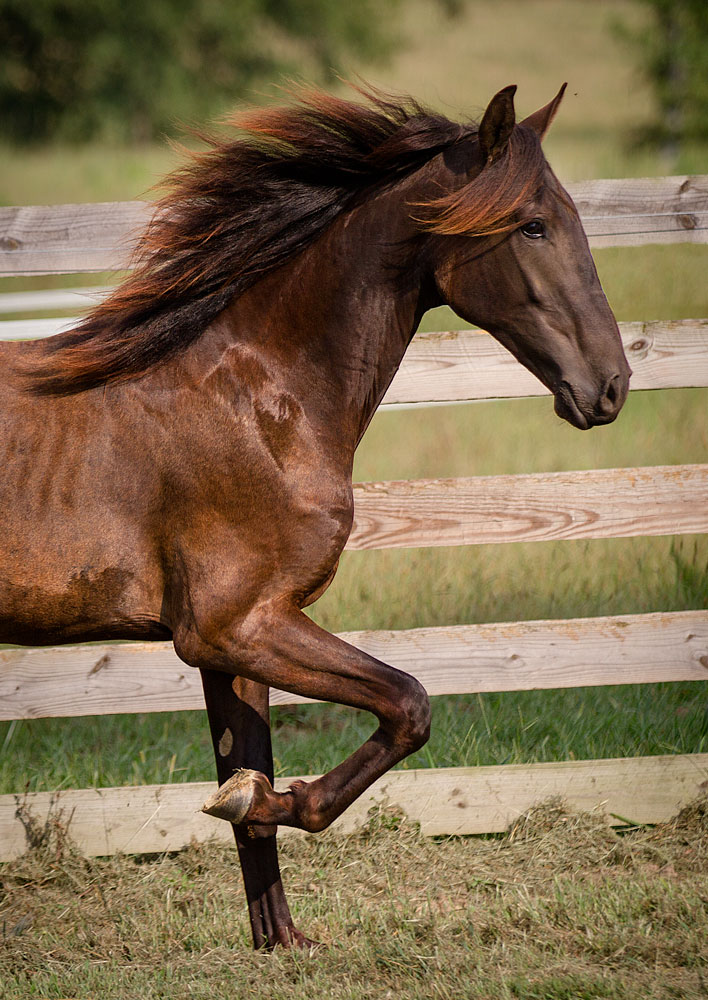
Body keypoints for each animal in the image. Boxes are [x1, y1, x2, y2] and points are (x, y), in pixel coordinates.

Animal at [0, 84, 632, 944]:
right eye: (534, 223)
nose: (611, 385)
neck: (261, 403)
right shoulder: (235, 624)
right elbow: (407, 704)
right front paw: (274, 803)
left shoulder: (233, 644)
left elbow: (247, 777)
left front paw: (280, 937)